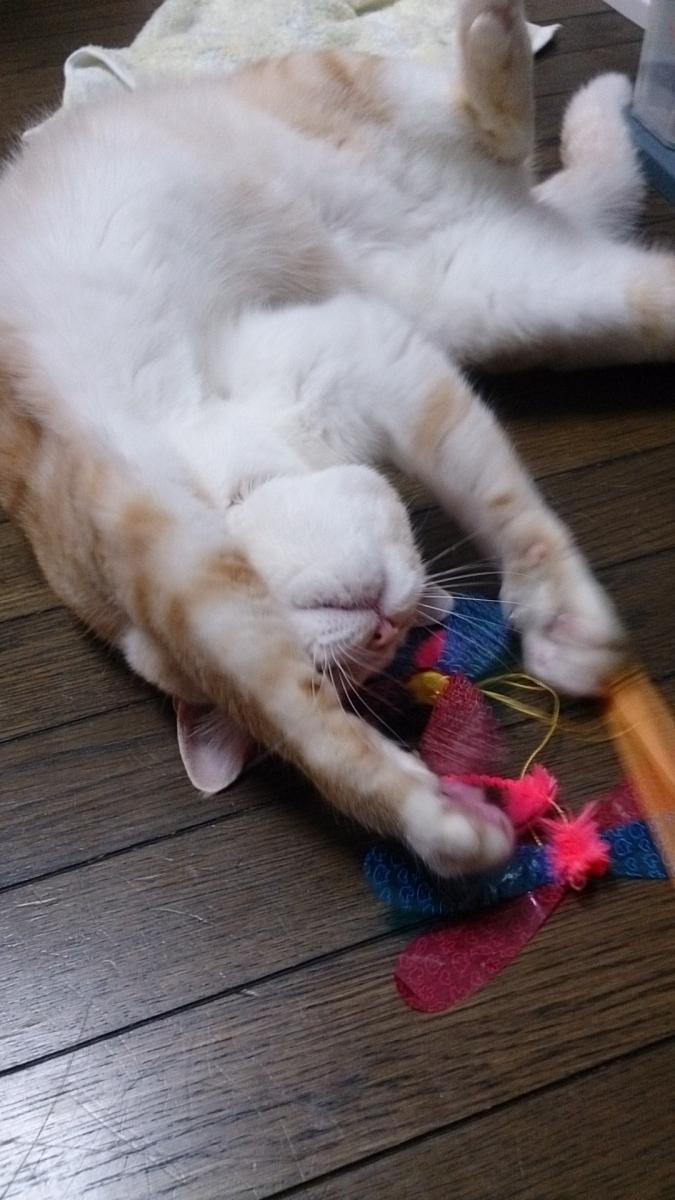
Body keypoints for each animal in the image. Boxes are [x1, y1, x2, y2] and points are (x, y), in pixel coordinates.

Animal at [0, 0, 672, 877]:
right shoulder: (384, 358)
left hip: (353, 100)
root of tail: (510, 203)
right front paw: (438, 816)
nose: (387, 620)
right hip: (505, 303)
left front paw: (555, 629)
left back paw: (490, 32)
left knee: (492, 118)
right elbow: (307, 722)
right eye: (368, 658)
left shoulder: (181, 551)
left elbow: (301, 720)